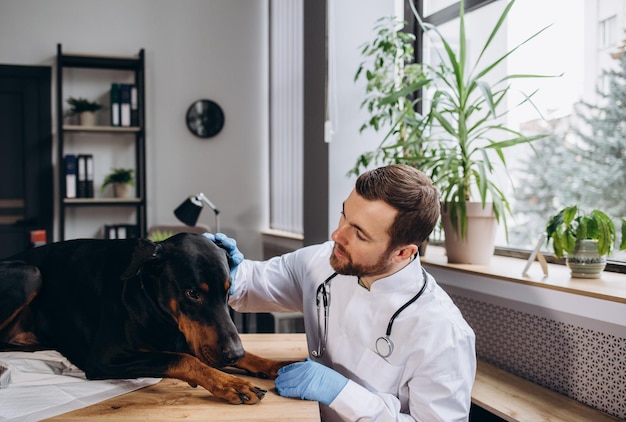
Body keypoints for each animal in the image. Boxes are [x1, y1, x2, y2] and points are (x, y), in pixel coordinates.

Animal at [0, 232, 292, 404]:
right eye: (193, 293)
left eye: (228, 290)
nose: (233, 354)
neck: (150, 298)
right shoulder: (104, 359)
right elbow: (183, 358)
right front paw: (230, 383)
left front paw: (275, 365)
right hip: (31, 273)